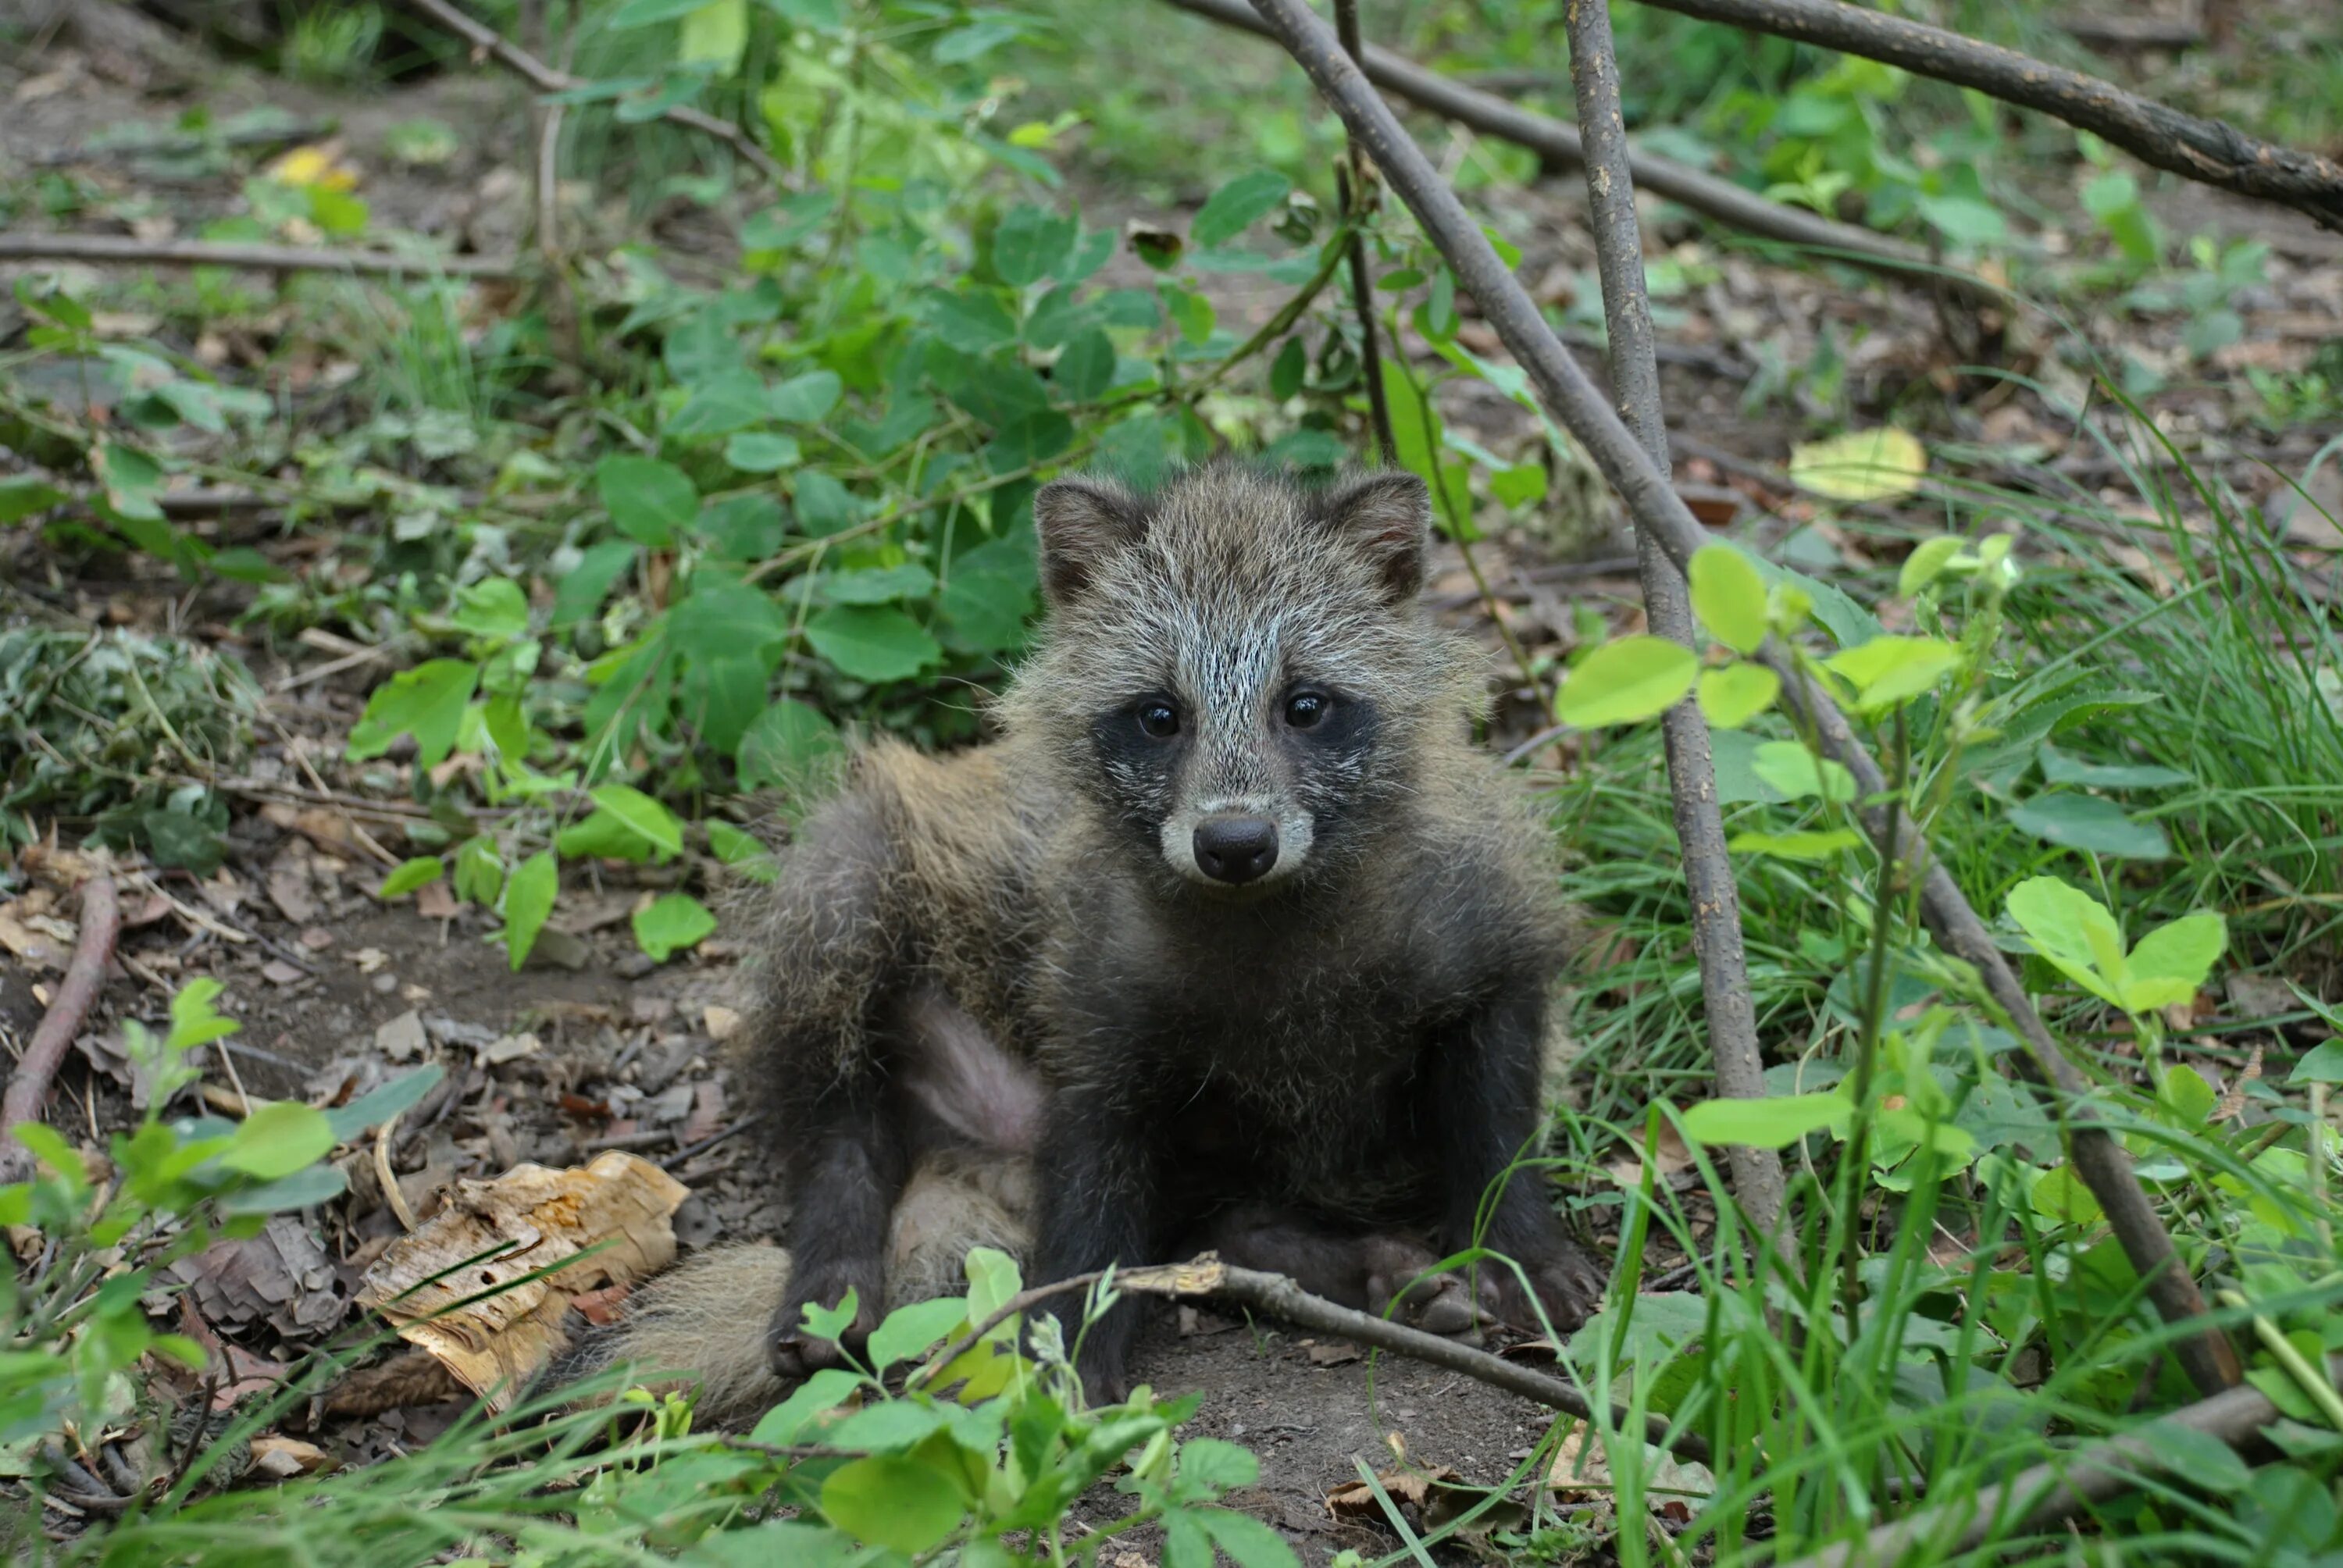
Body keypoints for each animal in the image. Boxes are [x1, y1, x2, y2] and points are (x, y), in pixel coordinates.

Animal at [586, 454, 1612, 1415]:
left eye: (1306, 705)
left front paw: (1520, 1243)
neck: (1268, 916)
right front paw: (1074, 1340)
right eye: (1161, 716)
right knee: (835, 1101)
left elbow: (1499, 1112)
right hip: (851, 874)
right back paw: (835, 1259)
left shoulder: (1482, 925)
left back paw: (1347, 1265)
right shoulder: (1094, 1002)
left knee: (1216, 1223)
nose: (1235, 844)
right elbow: (1092, 1181)